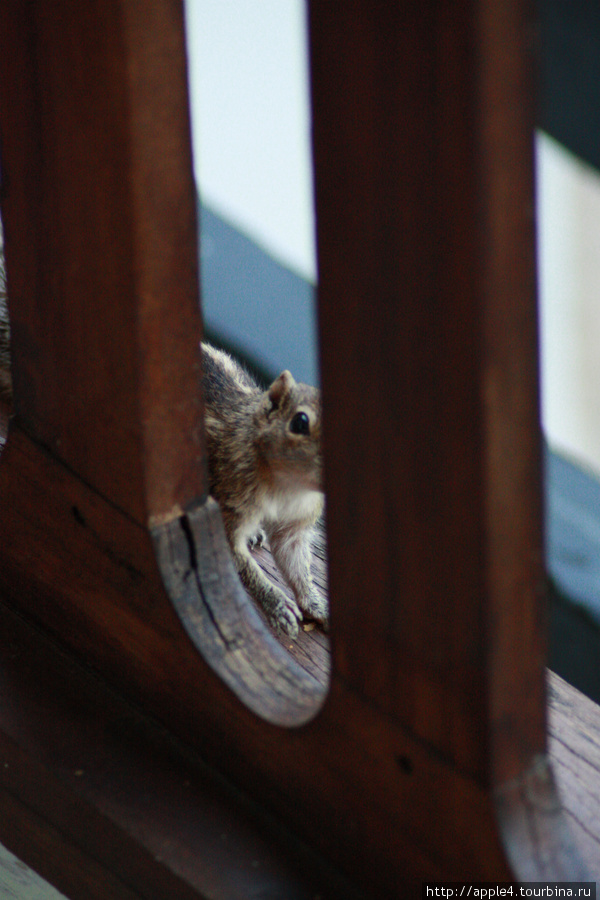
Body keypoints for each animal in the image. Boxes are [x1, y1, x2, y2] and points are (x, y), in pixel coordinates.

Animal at [202, 340, 326, 640]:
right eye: (300, 422)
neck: (290, 485)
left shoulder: (295, 526)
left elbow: (295, 563)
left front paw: (315, 603)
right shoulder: (231, 500)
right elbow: (241, 560)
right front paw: (278, 605)